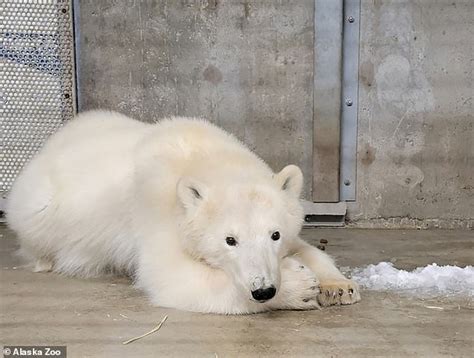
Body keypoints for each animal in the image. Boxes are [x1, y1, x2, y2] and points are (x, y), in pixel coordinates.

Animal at [6, 111, 360, 314]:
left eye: (275, 234)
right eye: (230, 240)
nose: (263, 289)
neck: (203, 156)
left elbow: (305, 247)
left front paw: (338, 287)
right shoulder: (156, 210)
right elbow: (172, 276)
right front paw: (299, 286)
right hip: (40, 210)